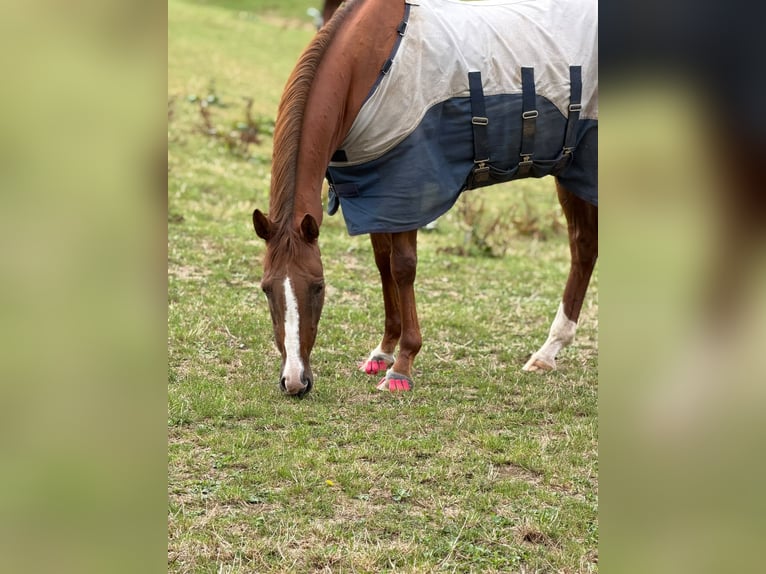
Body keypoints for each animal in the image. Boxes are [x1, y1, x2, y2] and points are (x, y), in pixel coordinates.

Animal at [253, 0, 598, 396]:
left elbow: (403, 268)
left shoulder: (407, 187)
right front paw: (383, 350)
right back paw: (548, 352)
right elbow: (383, 263)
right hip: (571, 174)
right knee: (584, 249)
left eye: (318, 287)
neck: (368, 68)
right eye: (266, 289)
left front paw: (402, 365)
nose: (295, 381)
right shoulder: (376, 193)